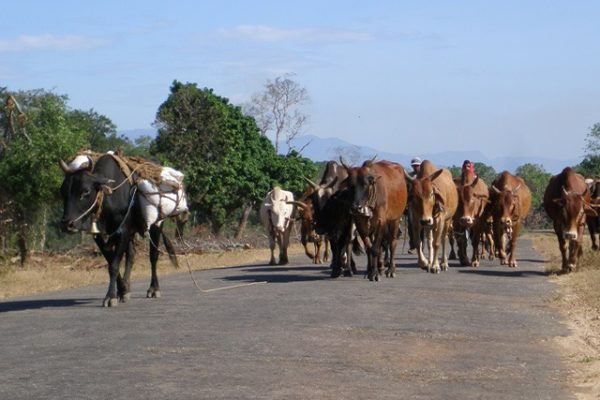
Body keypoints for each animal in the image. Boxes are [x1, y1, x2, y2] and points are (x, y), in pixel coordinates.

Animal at [59, 153, 179, 306]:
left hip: (156, 226)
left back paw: (154, 289)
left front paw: (110, 297)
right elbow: (111, 262)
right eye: (62, 191)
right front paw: (122, 291)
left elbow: (114, 265)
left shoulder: (123, 231)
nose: (67, 224)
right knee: (131, 256)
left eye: (85, 191)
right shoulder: (100, 236)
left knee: (153, 256)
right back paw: (127, 287)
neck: (109, 195)